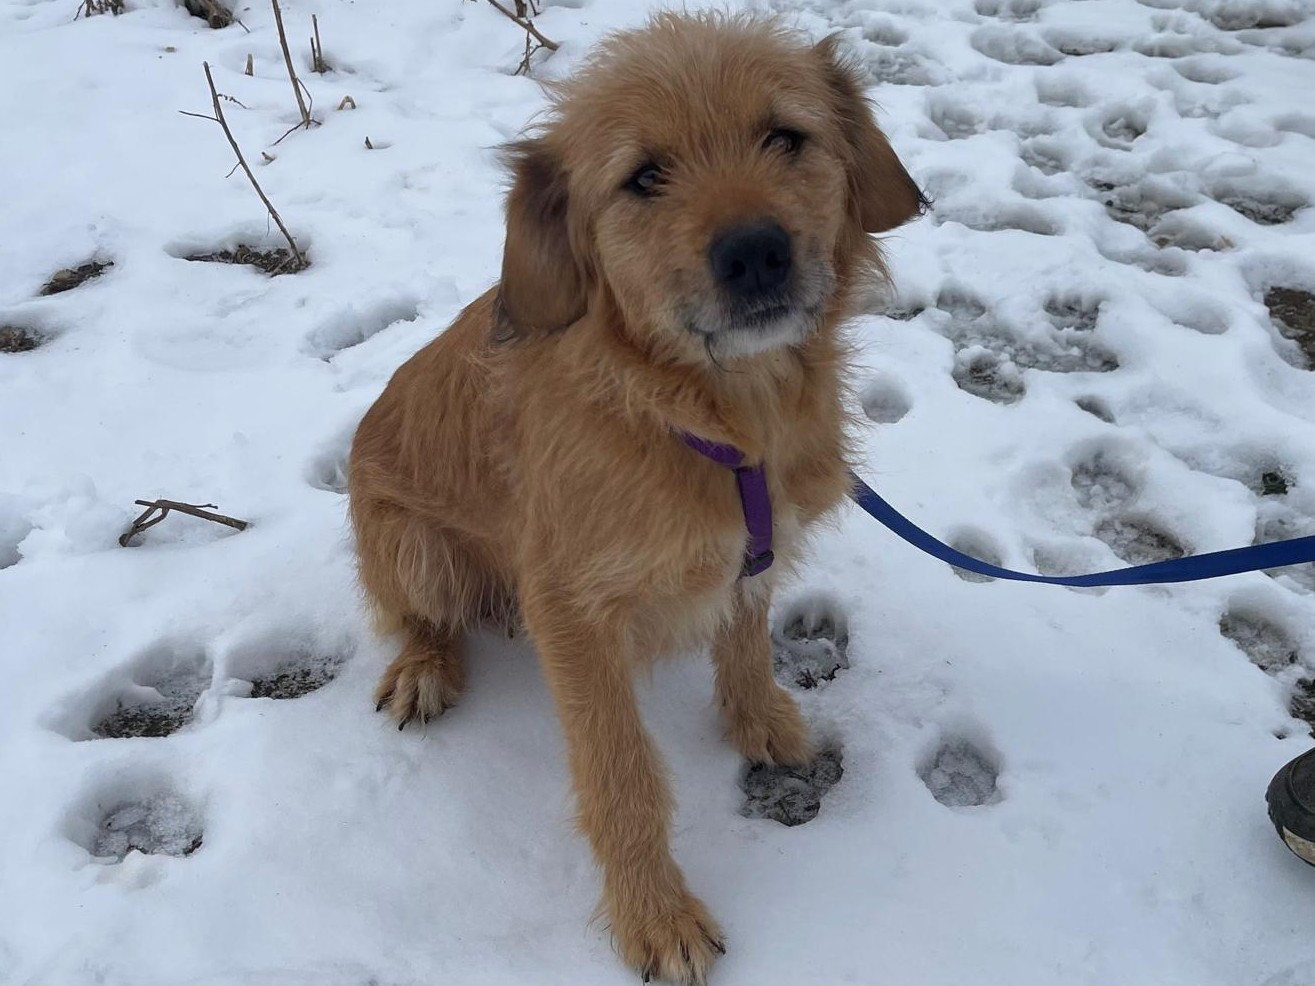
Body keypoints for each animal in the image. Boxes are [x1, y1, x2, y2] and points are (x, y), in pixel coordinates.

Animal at [347, 13, 924, 984]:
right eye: (643, 176)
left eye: (785, 136)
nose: (755, 252)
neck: (717, 418)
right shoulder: (573, 612)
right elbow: (622, 776)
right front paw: (654, 915)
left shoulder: (750, 551)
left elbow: (745, 641)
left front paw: (758, 719)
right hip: (411, 545)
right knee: (415, 612)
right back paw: (425, 666)